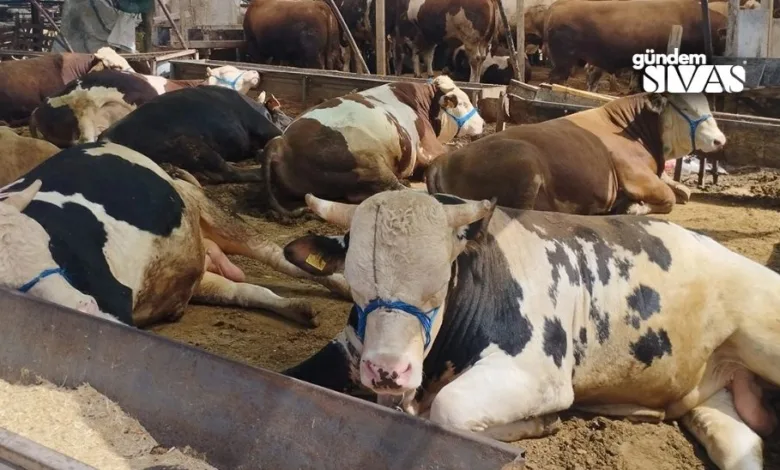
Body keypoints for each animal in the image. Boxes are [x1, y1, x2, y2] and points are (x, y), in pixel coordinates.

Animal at [0, 141, 350, 328]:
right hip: (191, 271)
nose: (84, 306)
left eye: (47, 244)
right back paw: (299, 308)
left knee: (279, 256)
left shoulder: (115, 297)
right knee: (241, 290)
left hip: (211, 211)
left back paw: (343, 288)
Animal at [262, 76, 482, 216]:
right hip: (368, 161)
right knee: (393, 188)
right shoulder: (429, 149)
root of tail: (281, 141)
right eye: (463, 103)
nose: (481, 122)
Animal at [424, 91, 724, 215]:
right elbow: (668, 198)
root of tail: (443, 160)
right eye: (686, 107)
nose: (720, 140)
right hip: (526, 163)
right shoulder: (635, 174)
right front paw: (634, 207)